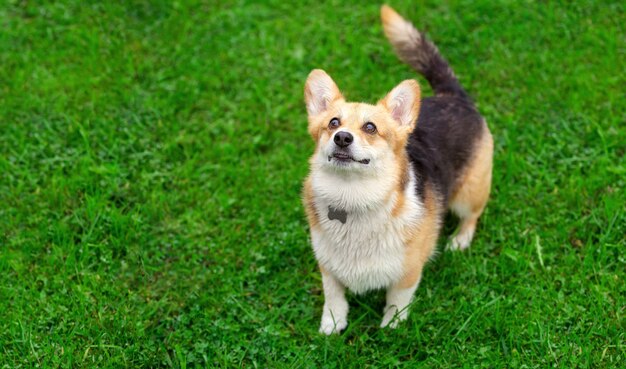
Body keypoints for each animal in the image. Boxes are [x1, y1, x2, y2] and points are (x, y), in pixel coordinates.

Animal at [302, 5, 492, 334]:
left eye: (370, 127)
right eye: (333, 123)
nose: (342, 138)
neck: (352, 197)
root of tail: (453, 96)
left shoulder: (408, 272)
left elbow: (397, 299)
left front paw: (392, 326)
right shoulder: (328, 265)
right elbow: (334, 295)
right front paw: (333, 324)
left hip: (468, 194)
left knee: (472, 216)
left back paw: (460, 240)